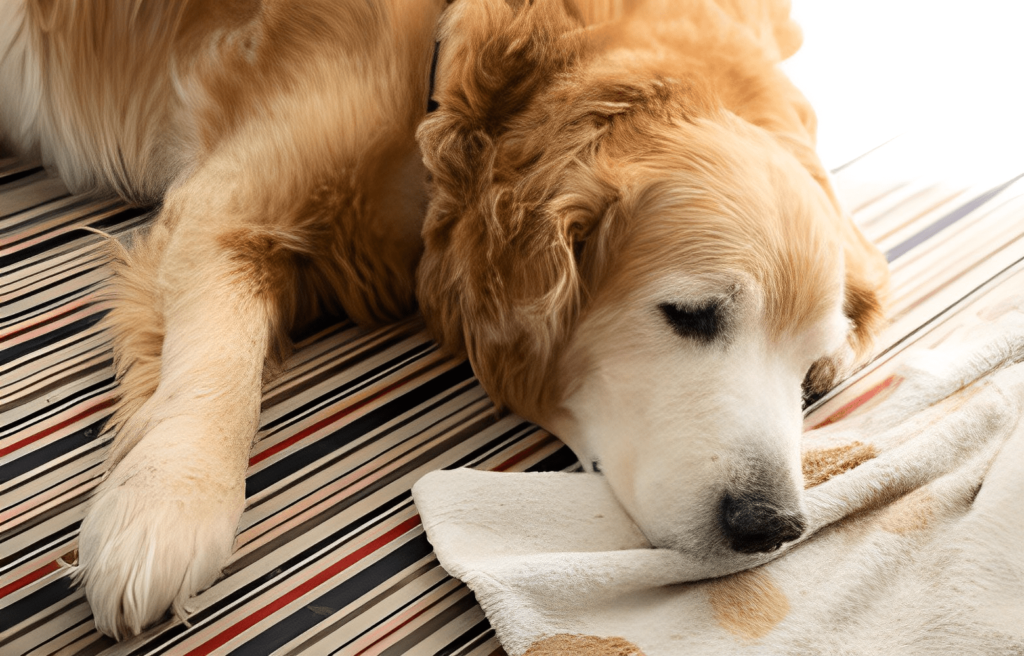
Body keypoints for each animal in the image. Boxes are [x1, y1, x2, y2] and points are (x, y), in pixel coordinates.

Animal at [2, 0, 888, 638]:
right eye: (690, 315)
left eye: (809, 380)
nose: (773, 526)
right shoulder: (222, 212)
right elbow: (220, 354)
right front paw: (163, 505)